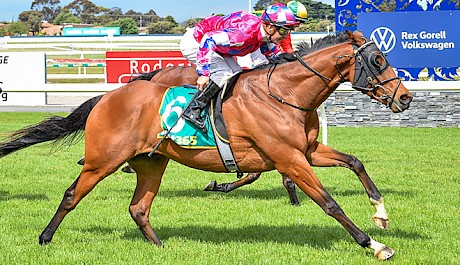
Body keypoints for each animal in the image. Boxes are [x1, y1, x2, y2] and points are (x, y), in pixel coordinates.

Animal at [0, 30, 414, 258]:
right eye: (378, 60)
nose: (406, 98)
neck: (284, 93)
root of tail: (107, 97)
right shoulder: (288, 158)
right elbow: (329, 203)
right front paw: (375, 245)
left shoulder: (307, 151)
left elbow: (355, 161)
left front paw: (381, 213)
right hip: (103, 160)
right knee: (73, 194)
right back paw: (45, 238)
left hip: (152, 162)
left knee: (139, 208)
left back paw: (162, 248)